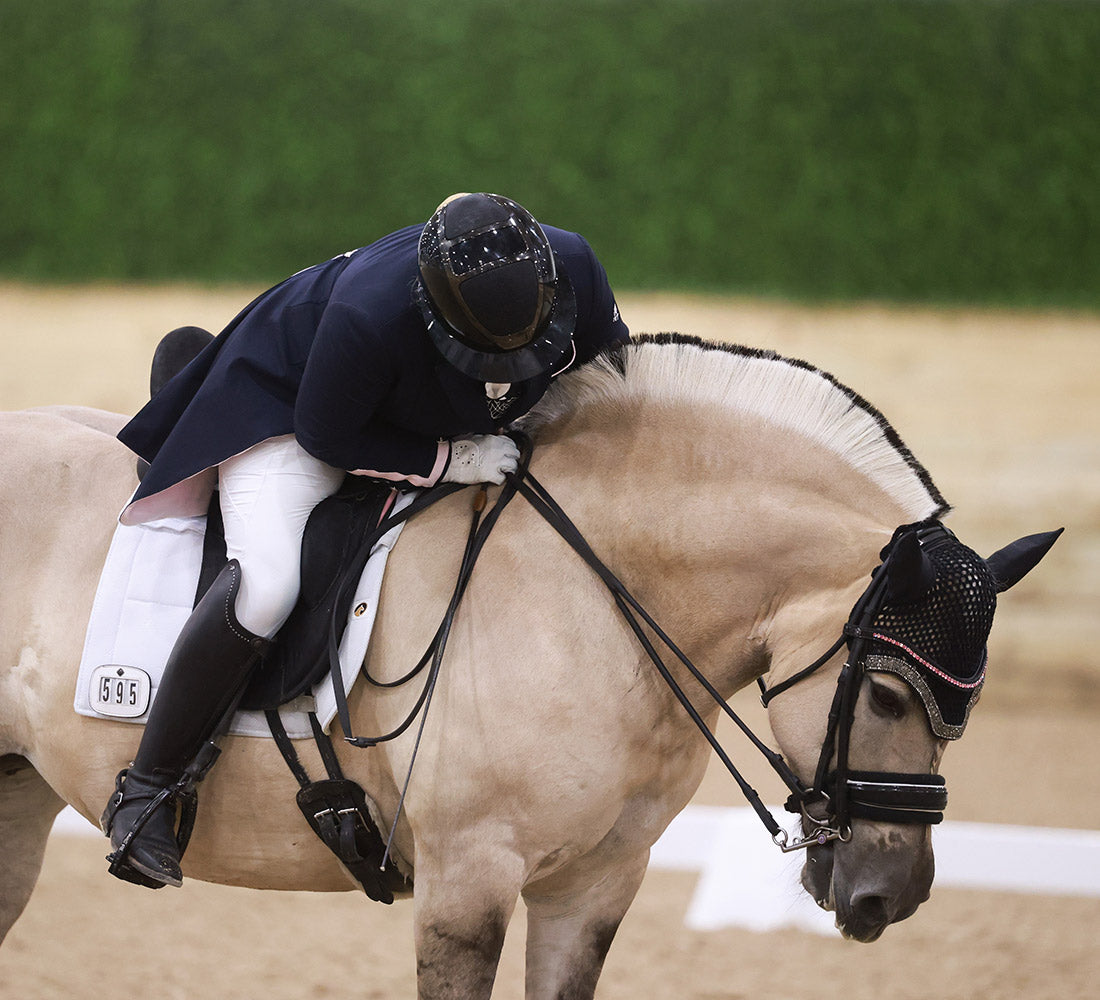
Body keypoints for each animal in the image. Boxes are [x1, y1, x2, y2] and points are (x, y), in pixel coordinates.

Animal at [0, 334, 1058, 999]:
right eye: (883, 693)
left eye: (962, 714)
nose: (893, 896)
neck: (598, 599)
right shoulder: (466, 883)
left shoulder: (595, 885)